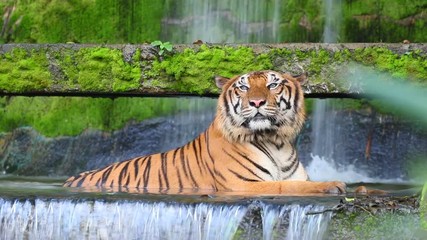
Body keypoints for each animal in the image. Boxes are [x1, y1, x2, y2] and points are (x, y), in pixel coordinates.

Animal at [64, 70, 348, 194]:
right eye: (243, 87)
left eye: (273, 85)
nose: (256, 102)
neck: (276, 141)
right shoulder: (243, 184)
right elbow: (286, 187)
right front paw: (334, 185)